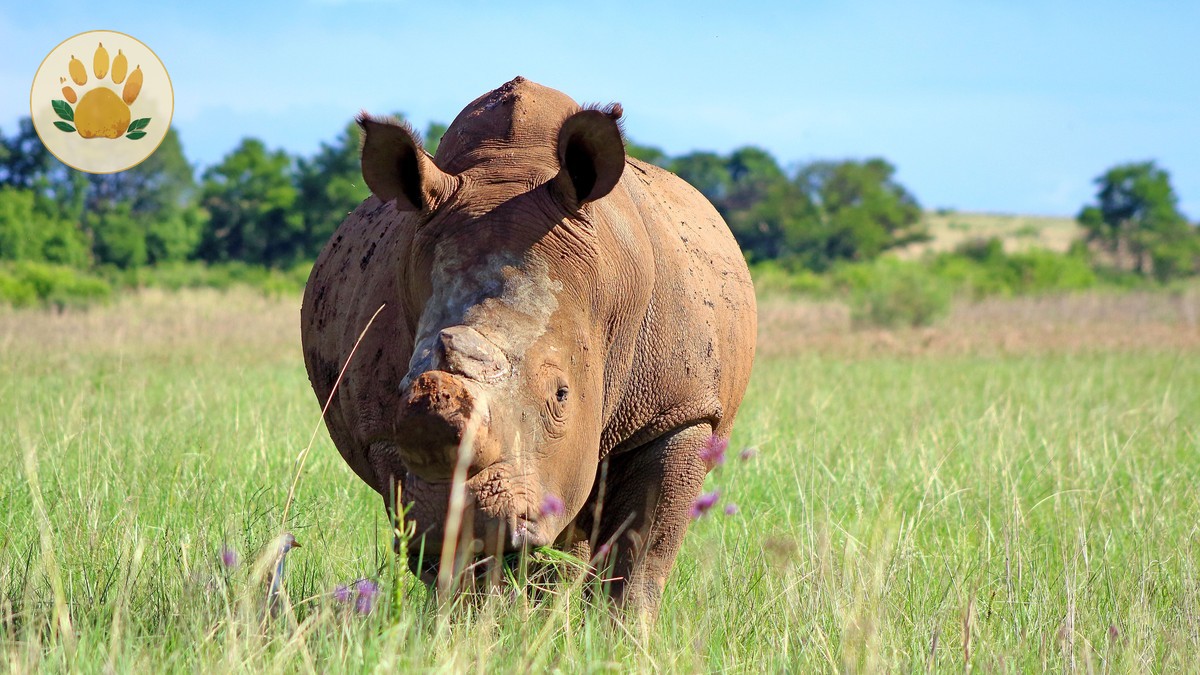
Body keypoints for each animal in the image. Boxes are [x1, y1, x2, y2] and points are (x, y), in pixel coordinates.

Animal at [301, 77, 756, 612]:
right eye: (403, 388)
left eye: (561, 395)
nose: (471, 519)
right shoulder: (386, 434)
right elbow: (451, 566)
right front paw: (469, 623)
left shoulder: (678, 410)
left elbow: (640, 559)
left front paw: (618, 632)